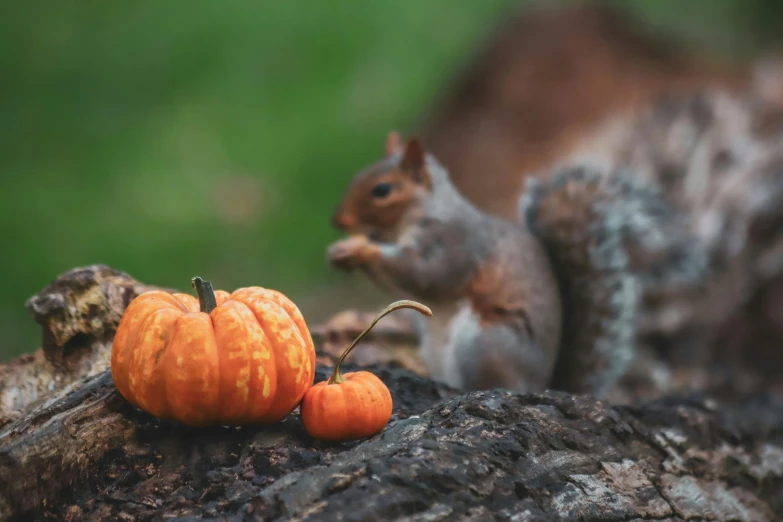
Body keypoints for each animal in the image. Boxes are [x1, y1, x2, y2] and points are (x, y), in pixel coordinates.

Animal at [324, 132, 704, 396]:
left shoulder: (455, 245)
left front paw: (360, 250)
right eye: (357, 176)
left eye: (382, 190)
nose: (338, 220)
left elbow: (426, 276)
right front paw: (343, 251)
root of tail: (543, 384)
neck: (423, 213)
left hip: (485, 344)